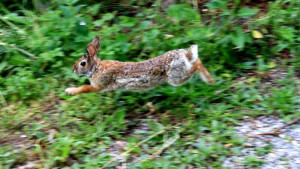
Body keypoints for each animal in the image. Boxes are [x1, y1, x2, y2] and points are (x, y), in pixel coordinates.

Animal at [66, 36, 214, 95]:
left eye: (82, 63)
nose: (73, 69)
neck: (96, 68)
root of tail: (186, 56)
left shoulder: (99, 85)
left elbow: (85, 88)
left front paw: (70, 91)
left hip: (176, 77)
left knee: (196, 65)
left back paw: (209, 80)